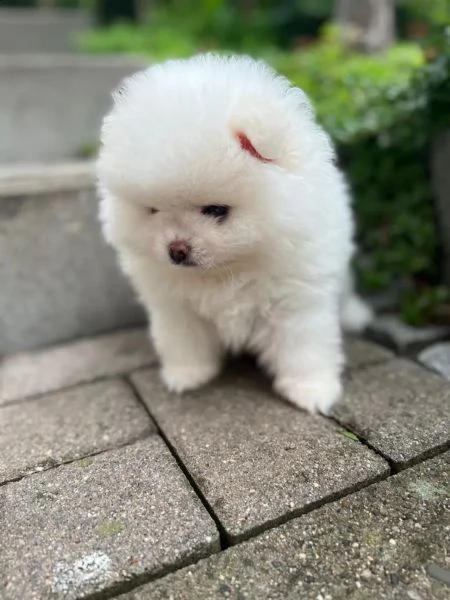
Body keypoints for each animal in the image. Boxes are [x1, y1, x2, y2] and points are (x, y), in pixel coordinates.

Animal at [96, 52, 370, 412]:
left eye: (216, 210)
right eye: (153, 210)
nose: (176, 250)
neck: (230, 269)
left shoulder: (295, 299)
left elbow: (303, 348)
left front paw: (310, 389)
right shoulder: (175, 306)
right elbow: (183, 340)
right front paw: (187, 374)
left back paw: (355, 315)